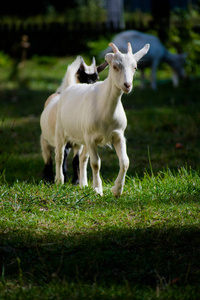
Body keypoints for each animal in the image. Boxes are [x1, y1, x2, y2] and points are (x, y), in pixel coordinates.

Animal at [55, 42, 149, 197]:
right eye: (115, 66)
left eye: (135, 67)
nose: (127, 85)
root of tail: (70, 86)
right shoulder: (91, 138)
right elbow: (96, 163)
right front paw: (98, 190)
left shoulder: (118, 135)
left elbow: (125, 162)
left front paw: (117, 190)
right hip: (61, 131)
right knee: (60, 156)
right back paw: (59, 181)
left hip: (84, 138)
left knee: (82, 158)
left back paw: (83, 184)